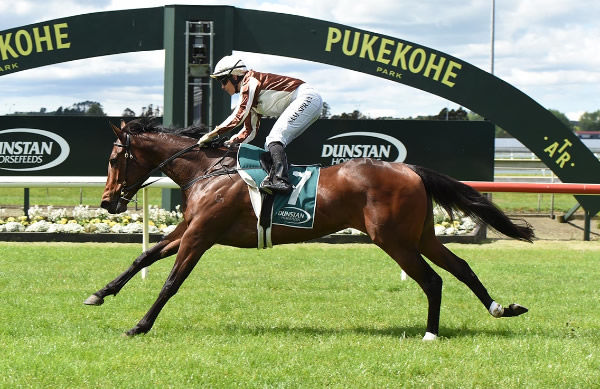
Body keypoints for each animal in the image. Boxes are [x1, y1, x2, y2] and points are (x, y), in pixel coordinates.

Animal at [82, 118, 532, 340]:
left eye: (113, 159)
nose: (107, 202)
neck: (207, 170)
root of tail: (411, 169)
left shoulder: (200, 236)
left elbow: (171, 283)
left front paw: (139, 326)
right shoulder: (189, 229)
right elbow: (144, 256)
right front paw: (99, 294)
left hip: (393, 239)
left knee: (433, 279)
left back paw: (430, 334)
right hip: (419, 235)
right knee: (461, 268)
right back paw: (501, 308)